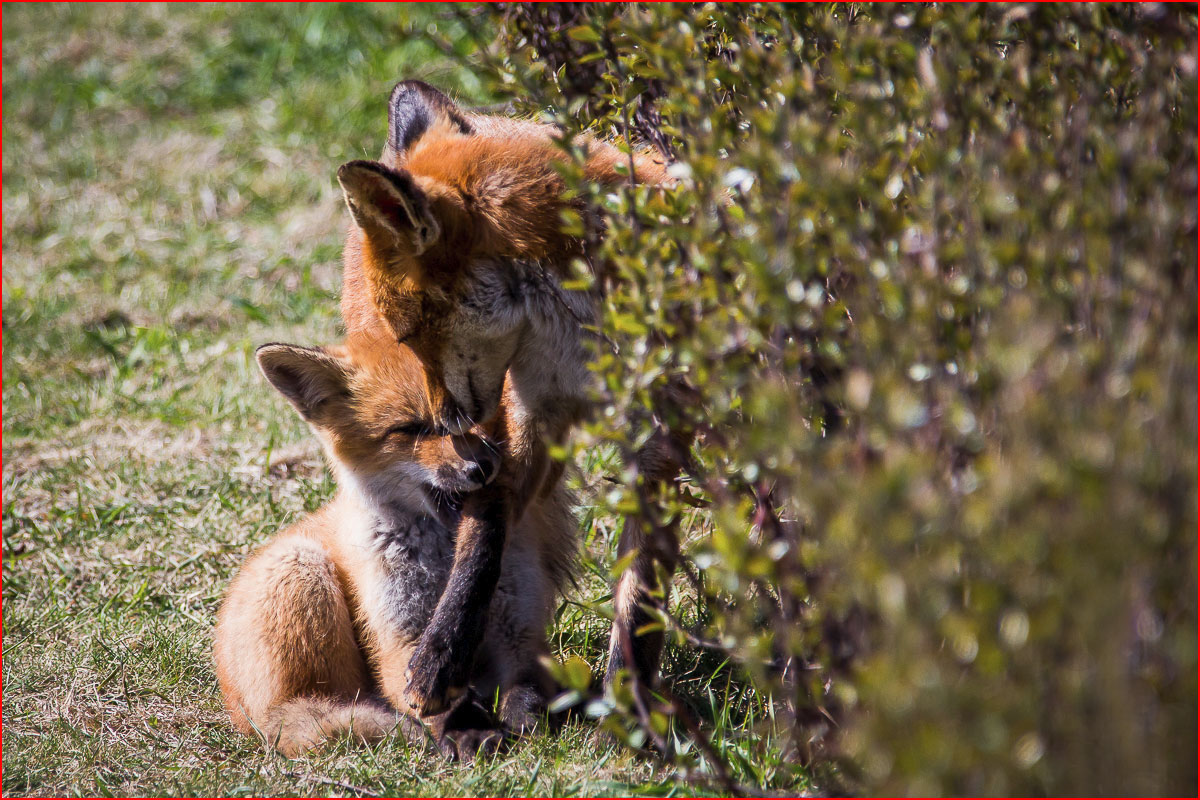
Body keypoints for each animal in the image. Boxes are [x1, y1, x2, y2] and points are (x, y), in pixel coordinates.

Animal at [216, 335, 576, 758]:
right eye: (410, 429)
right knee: (297, 721)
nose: (483, 467)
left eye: (476, 418)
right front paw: (468, 731)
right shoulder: (399, 642)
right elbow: (442, 701)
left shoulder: (519, 631)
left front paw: (528, 722)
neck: (444, 565)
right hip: (303, 569)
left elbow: (527, 690)